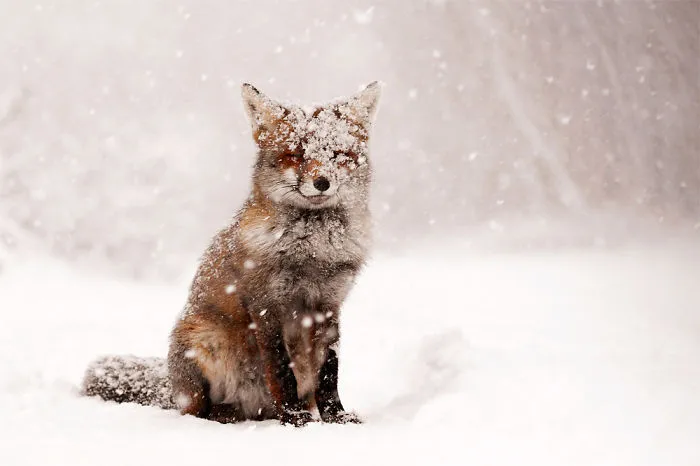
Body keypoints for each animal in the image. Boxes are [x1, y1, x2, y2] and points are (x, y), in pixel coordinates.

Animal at [82, 82, 381, 426]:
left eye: (338, 154)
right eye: (295, 155)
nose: (322, 182)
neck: (312, 253)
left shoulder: (329, 305)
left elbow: (329, 372)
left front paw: (336, 416)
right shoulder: (266, 306)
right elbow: (281, 370)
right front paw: (294, 418)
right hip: (204, 343)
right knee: (198, 409)